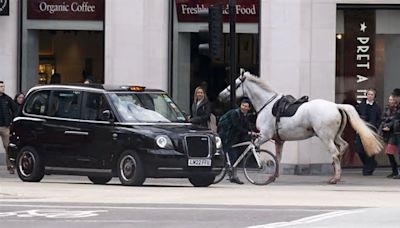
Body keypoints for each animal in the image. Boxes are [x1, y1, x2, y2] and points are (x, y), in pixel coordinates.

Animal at [219, 71, 384, 183]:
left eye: (235, 83)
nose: (221, 96)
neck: (267, 104)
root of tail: (336, 106)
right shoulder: (279, 140)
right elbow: (278, 157)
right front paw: (274, 175)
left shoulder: (264, 136)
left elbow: (250, 150)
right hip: (335, 137)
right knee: (343, 147)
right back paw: (336, 171)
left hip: (325, 138)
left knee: (335, 153)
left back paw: (335, 178)